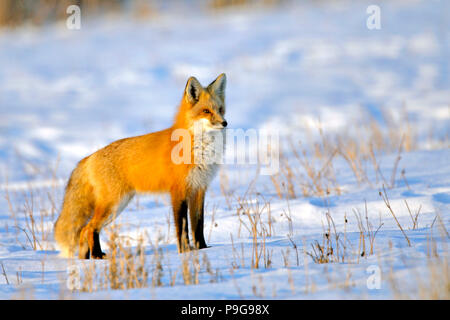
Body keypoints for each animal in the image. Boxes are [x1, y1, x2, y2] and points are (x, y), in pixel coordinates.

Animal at [54, 74, 227, 258]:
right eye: (206, 111)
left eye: (220, 109)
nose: (225, 123)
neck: (200, 149)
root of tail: (89, 157)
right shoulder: (178, 191)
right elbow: (182, 227)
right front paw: (184, 252)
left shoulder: (199, 188)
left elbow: (198, 225)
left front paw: (203, 250)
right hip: (113, 204)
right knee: (89, 228)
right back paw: (97, 256)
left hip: (117, 206)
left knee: (84, 230)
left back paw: (86, 259)